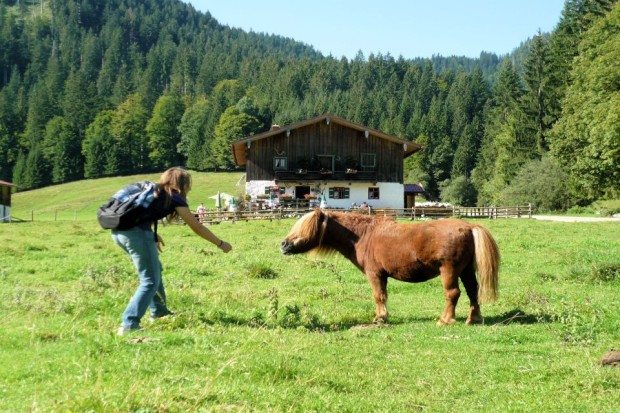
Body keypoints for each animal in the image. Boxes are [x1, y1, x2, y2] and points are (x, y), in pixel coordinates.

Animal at [280, 211, 498, 324]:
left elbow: (378, 296)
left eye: (304, 229)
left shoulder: (375, 274)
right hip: (466, 270)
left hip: (450, 270)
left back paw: (445, 320)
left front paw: (380, 318)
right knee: (472, 292)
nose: (284, 245)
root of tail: (469, 227)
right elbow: (383, 296)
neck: (363, 235)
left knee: (453, 293)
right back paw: (474, 318)